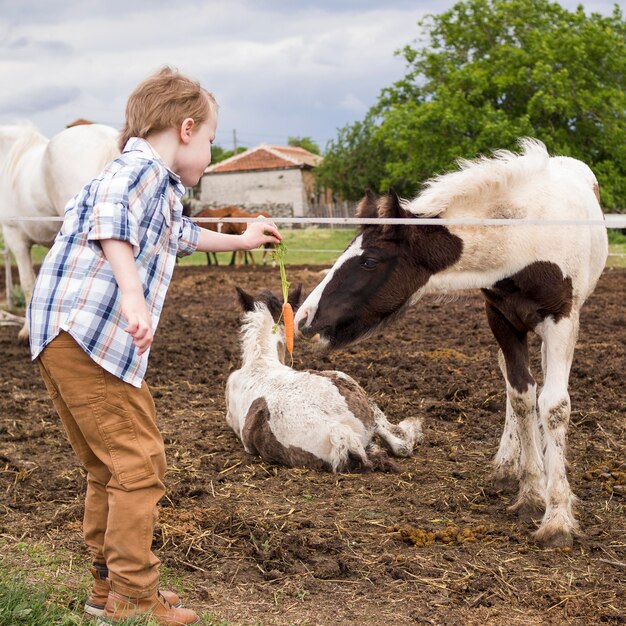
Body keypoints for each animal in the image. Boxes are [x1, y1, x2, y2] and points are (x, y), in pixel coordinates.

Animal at [294, 138, 608, 544]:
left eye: (369, 261)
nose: (303, 318)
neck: (522, 235)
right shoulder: (501, 319)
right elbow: (522, 396)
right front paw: (530, 492)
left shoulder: (562, 319)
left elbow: (554, 406)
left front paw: (557, 516)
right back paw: (509, 464)